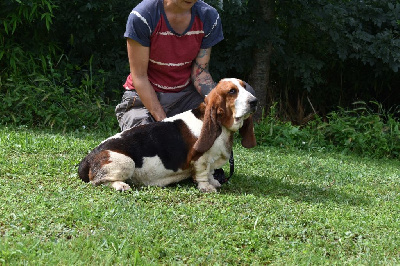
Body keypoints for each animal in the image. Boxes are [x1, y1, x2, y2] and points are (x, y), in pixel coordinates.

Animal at [77, 78, 258, 192]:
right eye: (232, 91)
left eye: (244, 87)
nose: (254, 101)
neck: (222, 127)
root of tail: (87, 158)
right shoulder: (200, 159)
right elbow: (202, 173)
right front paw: (206, 187)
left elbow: (210, 172)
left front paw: (214, 181)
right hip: (127, 162)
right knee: (98, 181)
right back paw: (121, 186)